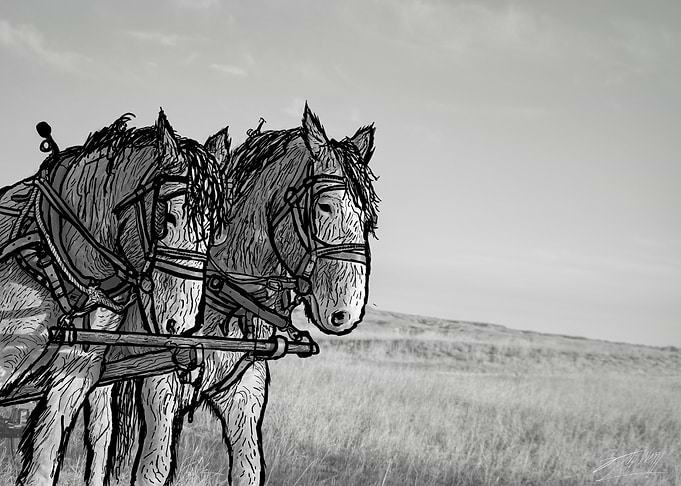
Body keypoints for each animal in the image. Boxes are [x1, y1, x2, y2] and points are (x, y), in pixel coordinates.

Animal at [85, 103, 379, 485]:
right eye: (325, 206)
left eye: (367, 218)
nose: (346, 313)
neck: (224, 303)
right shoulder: (159, 386)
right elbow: (153, 468)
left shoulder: (243, 393)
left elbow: (248, 468)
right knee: (100, 436)